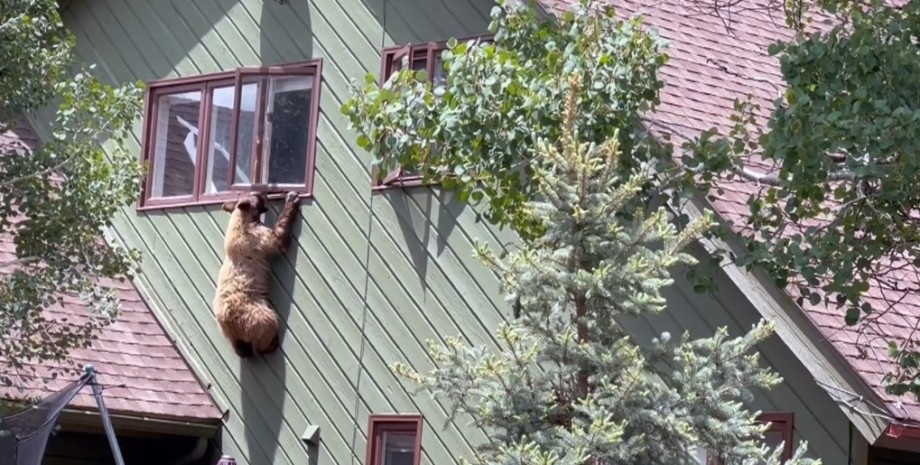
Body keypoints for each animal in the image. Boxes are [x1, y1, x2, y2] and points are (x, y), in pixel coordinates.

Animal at [212, 190, 298, 358]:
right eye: (258, 197)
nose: (264, 192)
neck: (242, 219)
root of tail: (227, 318)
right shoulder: (256, 237)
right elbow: (277, 239)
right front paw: (292, 199)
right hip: (254, 313)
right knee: (267, 324)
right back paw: (271, 344)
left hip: (228, 330)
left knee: (238, 344)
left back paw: (244, 351)